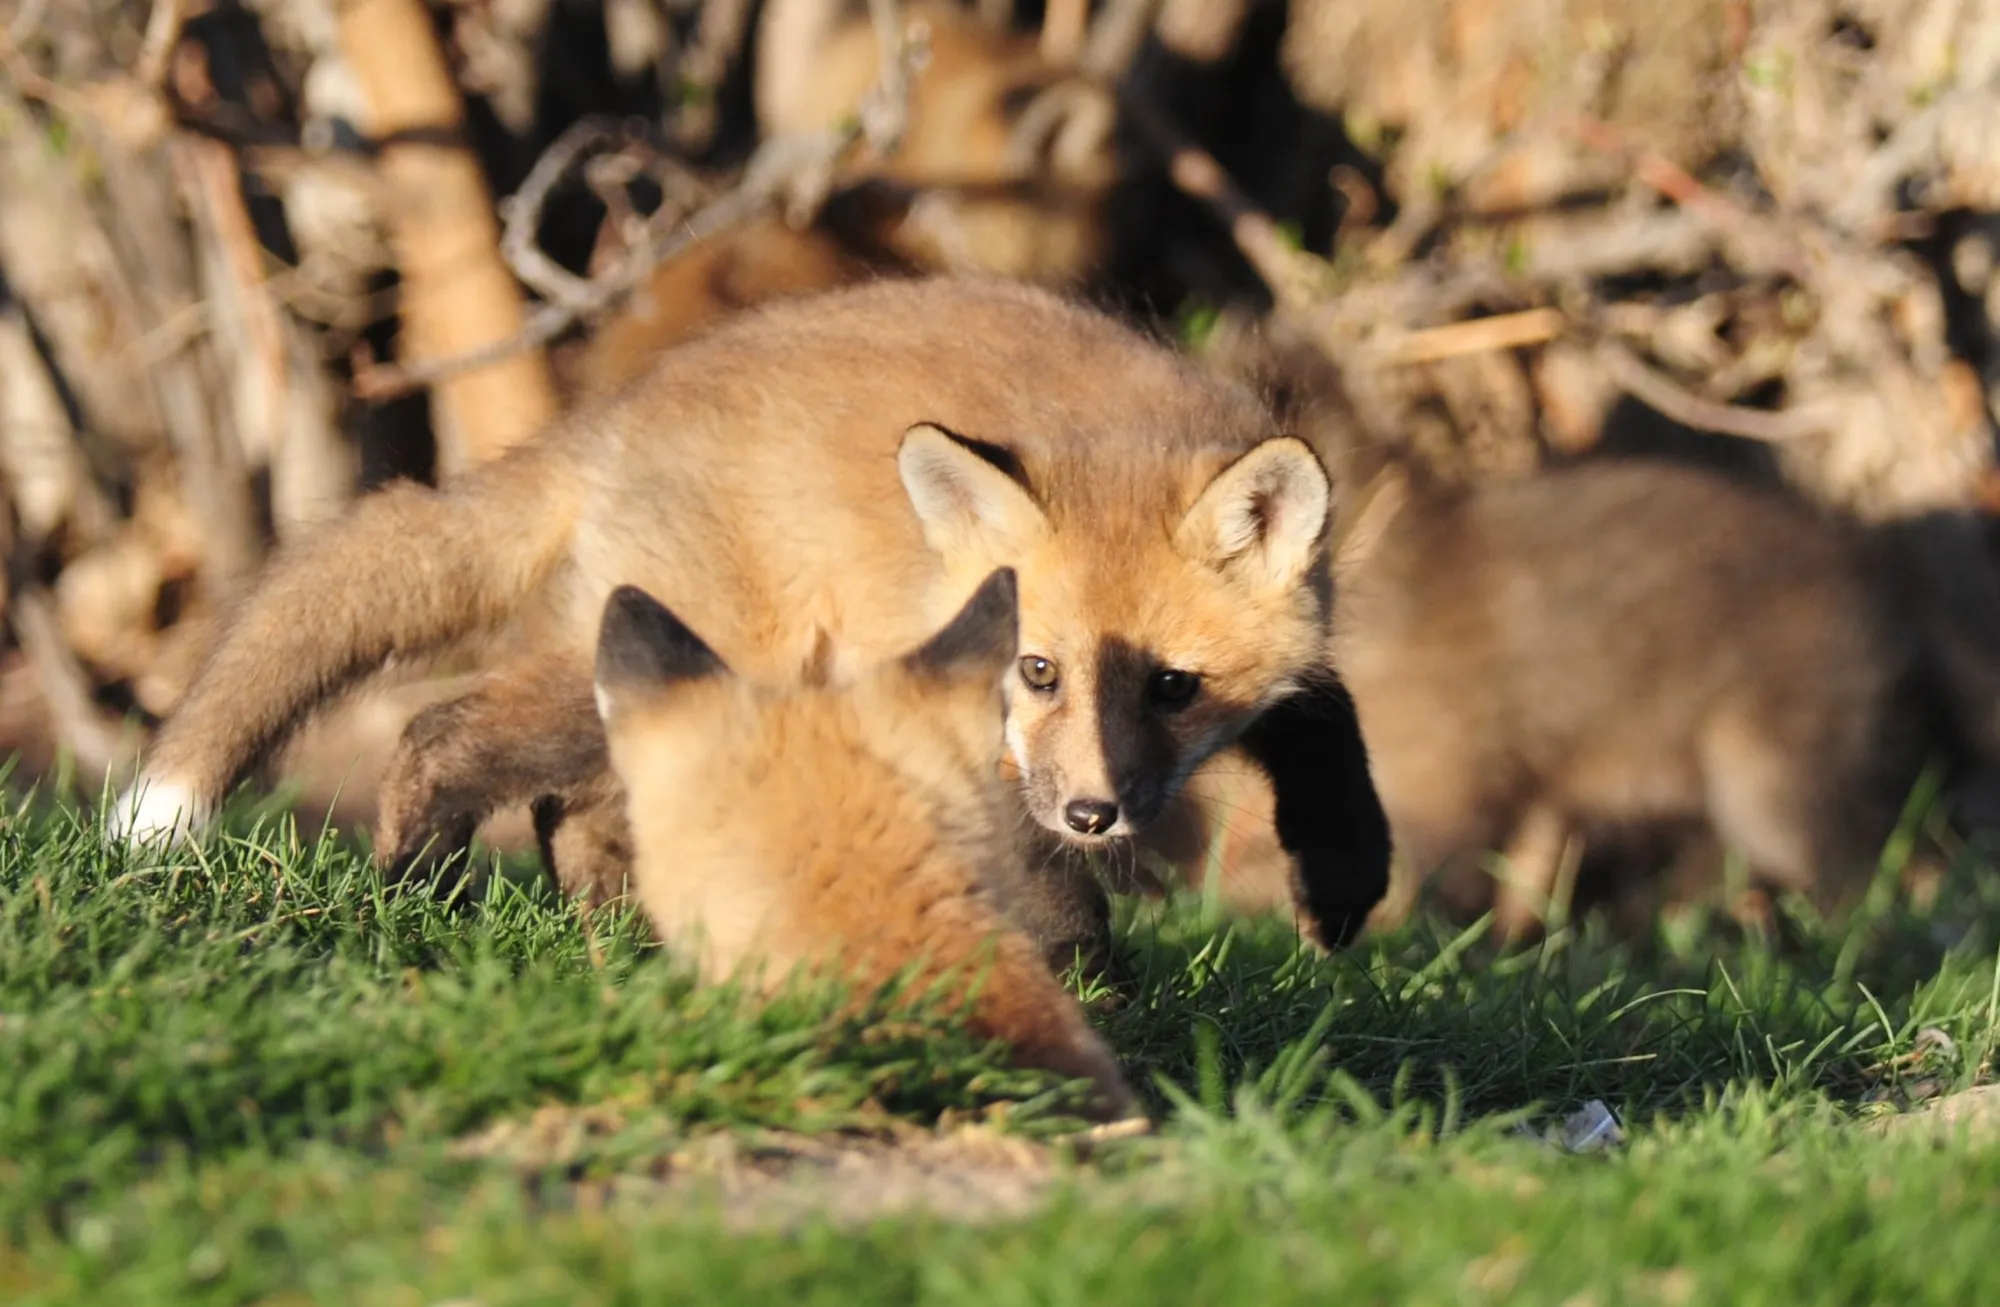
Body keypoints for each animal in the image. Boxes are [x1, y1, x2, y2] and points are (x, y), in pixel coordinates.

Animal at [109, 278, 1392, 967]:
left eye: (1172, 685)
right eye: (1036, 668)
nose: (1094, 811)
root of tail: (615, 414)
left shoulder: (1296, 648)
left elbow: (1327, 720)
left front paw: (1341, 879)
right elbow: (1050, 896)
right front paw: (1098, 1005)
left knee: (575, 809)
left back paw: (623, 934)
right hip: (682, 658)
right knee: (442, 738)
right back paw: (416, 894)